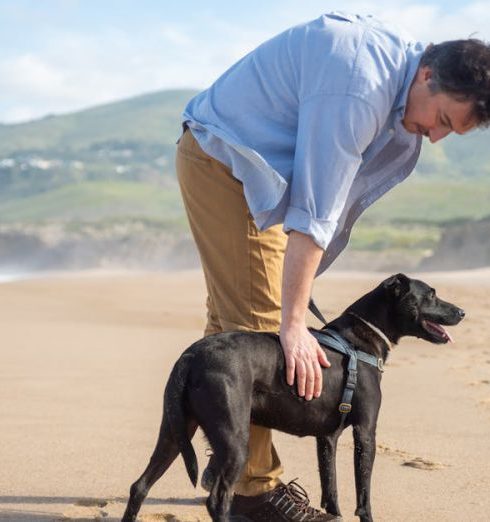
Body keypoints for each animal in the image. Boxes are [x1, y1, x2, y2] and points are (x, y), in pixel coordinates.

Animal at [121, 272, 464, 520]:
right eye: (431, 294)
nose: (462, 311)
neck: (361, 339)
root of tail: (190, 356)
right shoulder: (366, 433)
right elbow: (363, 495)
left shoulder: (327, 438)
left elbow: (331, 489)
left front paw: (332, 515)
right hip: (233, 440)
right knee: (217, 500)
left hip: (174, 431)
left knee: (140, 486)